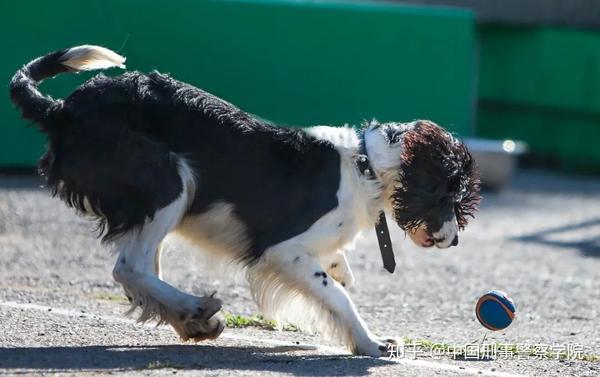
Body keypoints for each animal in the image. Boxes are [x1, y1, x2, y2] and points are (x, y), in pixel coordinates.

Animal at [9, 45, 480, 354]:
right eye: (453, 193)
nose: (457, 240)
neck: (364, 166)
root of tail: (61, 111)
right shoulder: (283, 251)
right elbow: (337, 296)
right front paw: (371, 344)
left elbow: (338, 275)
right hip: (171, 181)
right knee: (130, 267)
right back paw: (194, 307)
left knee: (142, 270)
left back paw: (191, 320)